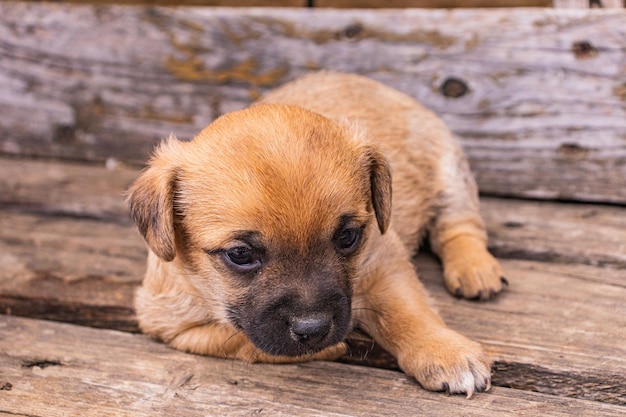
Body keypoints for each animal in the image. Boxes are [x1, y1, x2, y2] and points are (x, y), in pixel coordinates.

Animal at [125, 71, 502, 396]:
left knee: (459, 227)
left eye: (347, 237)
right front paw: (329, 348)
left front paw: (445, 350)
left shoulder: (384, 261)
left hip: (450, 174)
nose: (314, 328)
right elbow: (240, 341)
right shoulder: (171, 326)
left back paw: (475, 269)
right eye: (240, 254)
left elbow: (407, 310)